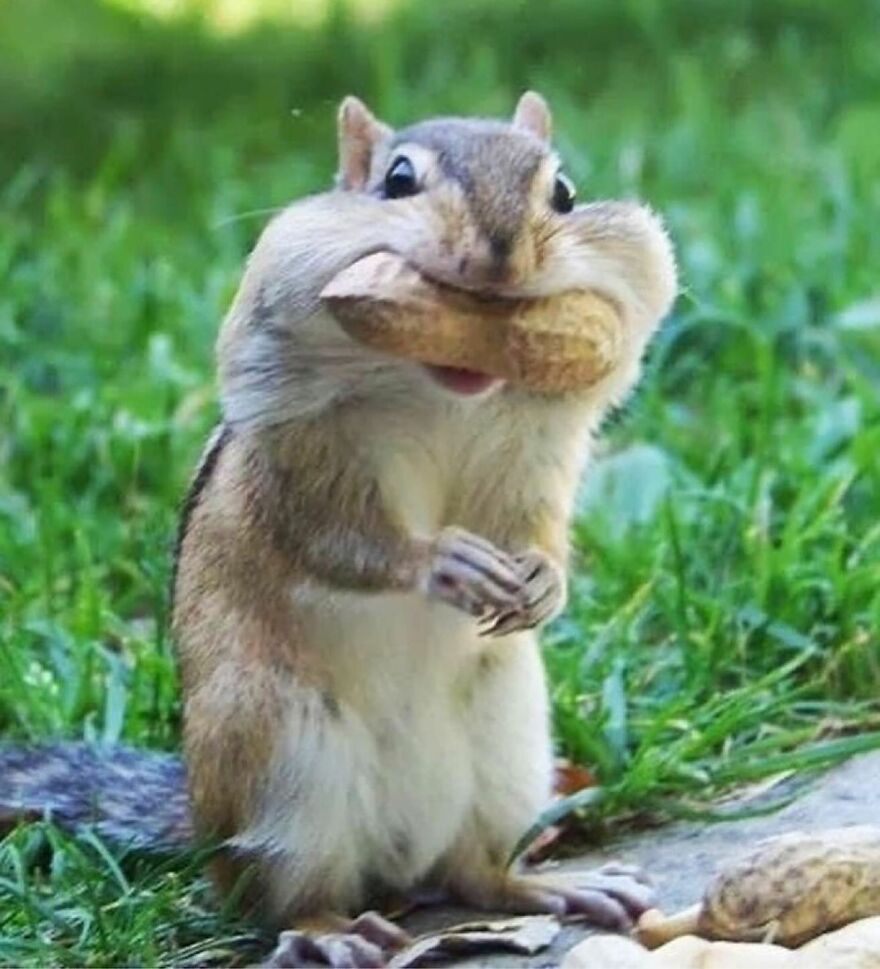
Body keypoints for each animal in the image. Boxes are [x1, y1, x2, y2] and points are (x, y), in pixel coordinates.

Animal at [0, 93, 677, 967]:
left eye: (563, 193)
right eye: (398, 180)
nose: (499, 260)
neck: (442, 390)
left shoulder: (541, 454)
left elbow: (538, 526)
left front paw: (542, 581)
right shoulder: (302, 459)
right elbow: (335, 537)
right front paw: (442, 561)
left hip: (510, 747)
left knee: (474, 873)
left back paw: (552, 885)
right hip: (285, 761)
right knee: (283, 897)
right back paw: (329, 932)